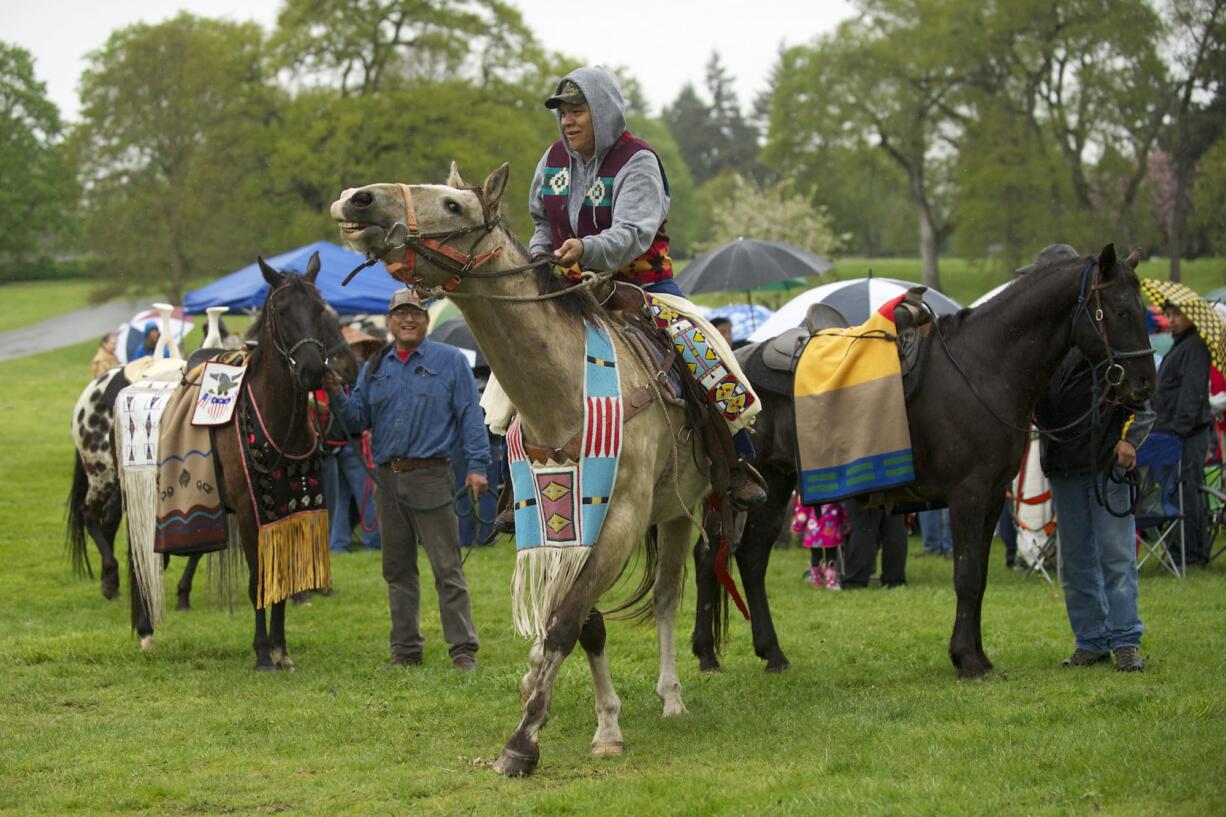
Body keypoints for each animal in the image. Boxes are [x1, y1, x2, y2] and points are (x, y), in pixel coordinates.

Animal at [333, 160, 715, 775]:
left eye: (454, 206)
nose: (357, 199)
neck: (563, 392)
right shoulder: (564, 530)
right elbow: (586, 625)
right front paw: (604, 725)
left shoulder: (619, 524)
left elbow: (564, 623)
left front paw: (523, 741)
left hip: (681, 511)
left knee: (666, 598)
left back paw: (672, 696)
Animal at [696, 245, 1152, 677]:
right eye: (1121, 310)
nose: (1142, 384)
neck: (982, 365)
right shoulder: (968, 494)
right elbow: (966, 576)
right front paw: (967, 659)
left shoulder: (991, 497)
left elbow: (979, 576)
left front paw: (977, 656)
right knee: (711, 554)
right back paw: (708, 654)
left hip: (773, 484)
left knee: (750, 557)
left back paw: (768, 653)